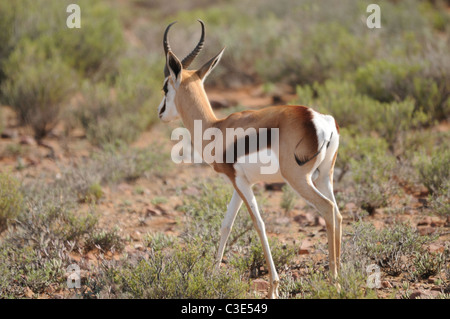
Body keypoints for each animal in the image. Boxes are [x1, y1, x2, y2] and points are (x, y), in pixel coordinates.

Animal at [158, 20, 342, 300]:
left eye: (165, 87)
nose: (160, 113)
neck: (216, 128)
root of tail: (319, 119)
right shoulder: (240, 183)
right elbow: (226, 224)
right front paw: (212, 276)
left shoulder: (240, 182)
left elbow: (259, 224)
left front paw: (274, 288)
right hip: (324, 177)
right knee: (339, 214)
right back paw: (344, 279)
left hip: (299, 179)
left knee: (328, 209)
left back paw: (334, 282)